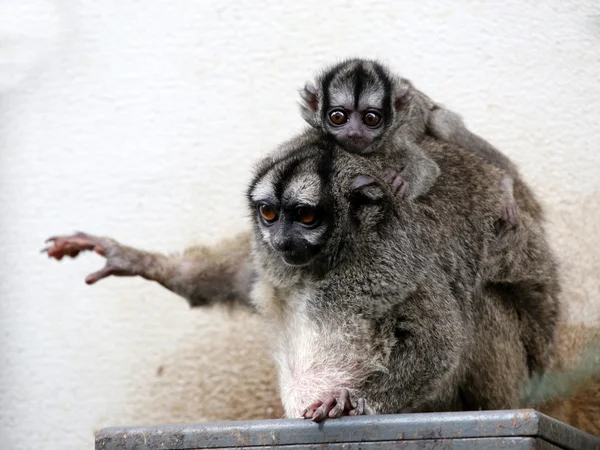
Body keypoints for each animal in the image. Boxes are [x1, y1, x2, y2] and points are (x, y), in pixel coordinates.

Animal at [302, 58, 516, 223]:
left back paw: (507, 184)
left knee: (440, 123)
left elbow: (427, 167)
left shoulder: (393, 140)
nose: (354, 133)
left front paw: (402, 182)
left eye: (371, 119)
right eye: (338, 117)